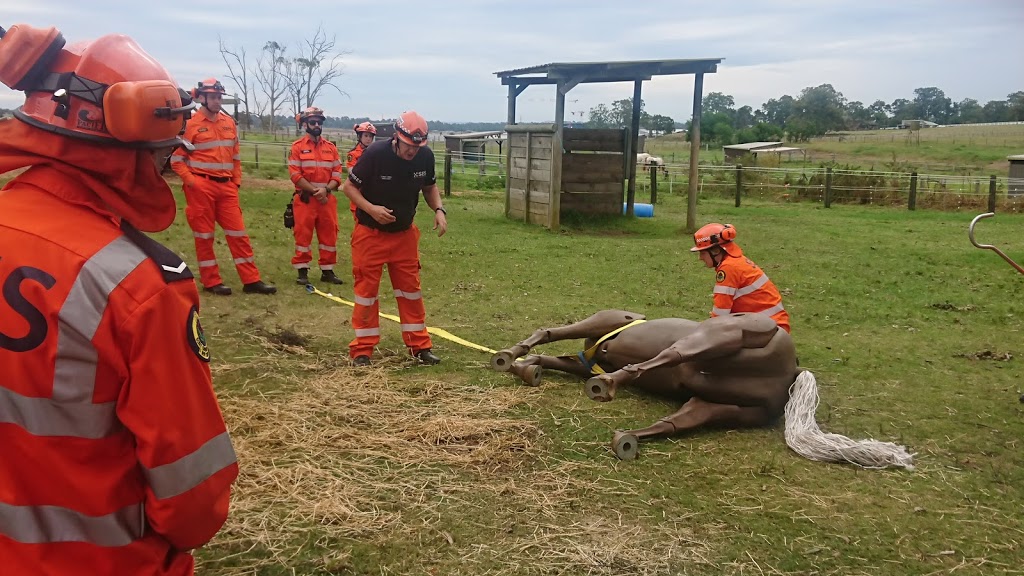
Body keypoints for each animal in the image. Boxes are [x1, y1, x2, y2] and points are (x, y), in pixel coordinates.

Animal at [491, 309, 917, 467]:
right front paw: (525, 367)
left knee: (672, 355)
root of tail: (793, 369)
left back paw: (607, 387)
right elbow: (553, 355)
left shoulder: (597, 329)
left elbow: (549, 334)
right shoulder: (583, 359)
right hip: (721, 403)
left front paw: (514, 357)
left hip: (721, 337)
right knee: (677, 419)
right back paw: (626, 439)